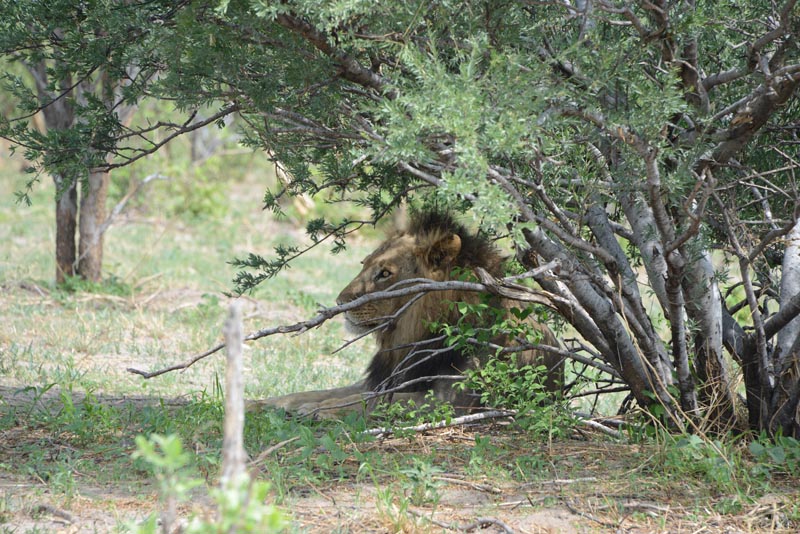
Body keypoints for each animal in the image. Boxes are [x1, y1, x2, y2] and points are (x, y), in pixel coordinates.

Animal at [253, 210, 563, 416]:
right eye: (365, 264)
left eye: (385, 273)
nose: (339, 301)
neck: (410, 335)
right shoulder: (383, 380)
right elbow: (317, 392)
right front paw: (261, 403)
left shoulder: (452, 401)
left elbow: (374, 402)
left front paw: (319, 409)